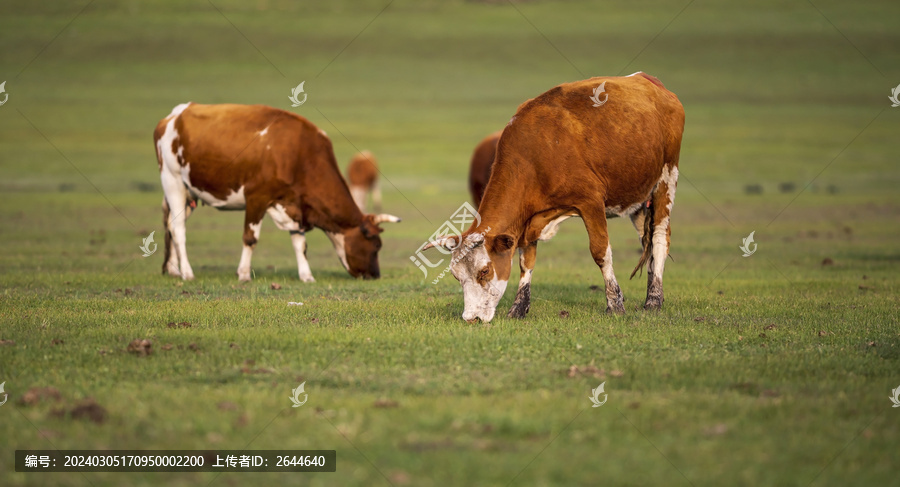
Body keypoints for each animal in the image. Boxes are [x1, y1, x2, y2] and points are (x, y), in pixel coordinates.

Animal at [155, 105, 400, 284]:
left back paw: (173, 269)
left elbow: (300, 244)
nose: (375, 275)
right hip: (172, 181)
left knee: (171, 224)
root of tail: (174, 115)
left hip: (189, 192)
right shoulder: (256, 198)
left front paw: (306, 276)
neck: (300, 155)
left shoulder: (295, 206)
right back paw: (187, 272)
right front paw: (244, 274)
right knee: (179, 229)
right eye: (376, 246)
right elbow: (250, 238)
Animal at [426, 72, 684, 322]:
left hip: (666, 177)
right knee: (646, 241)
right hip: (637, 198)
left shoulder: (590, 202)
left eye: (484, 271)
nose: (471, 318)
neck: (536, 156)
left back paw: (653, 301)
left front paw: (615, 304)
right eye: (456, 276)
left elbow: (601, 252)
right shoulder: (528, 219)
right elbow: (526, 261)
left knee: (659, 237)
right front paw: (518, 308)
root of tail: (651, 81)